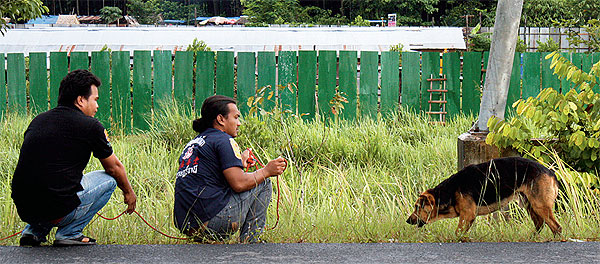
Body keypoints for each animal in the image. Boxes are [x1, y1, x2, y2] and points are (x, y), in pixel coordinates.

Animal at [406, 157, 560, 235]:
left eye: (417, 207)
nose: (407, 221)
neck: (450, 191)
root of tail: (551, 173)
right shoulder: (467, 218)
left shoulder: (467, 215)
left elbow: (458, 233)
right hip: (530, 205)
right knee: (540, 225)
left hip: (540, 206)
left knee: (556, 227)